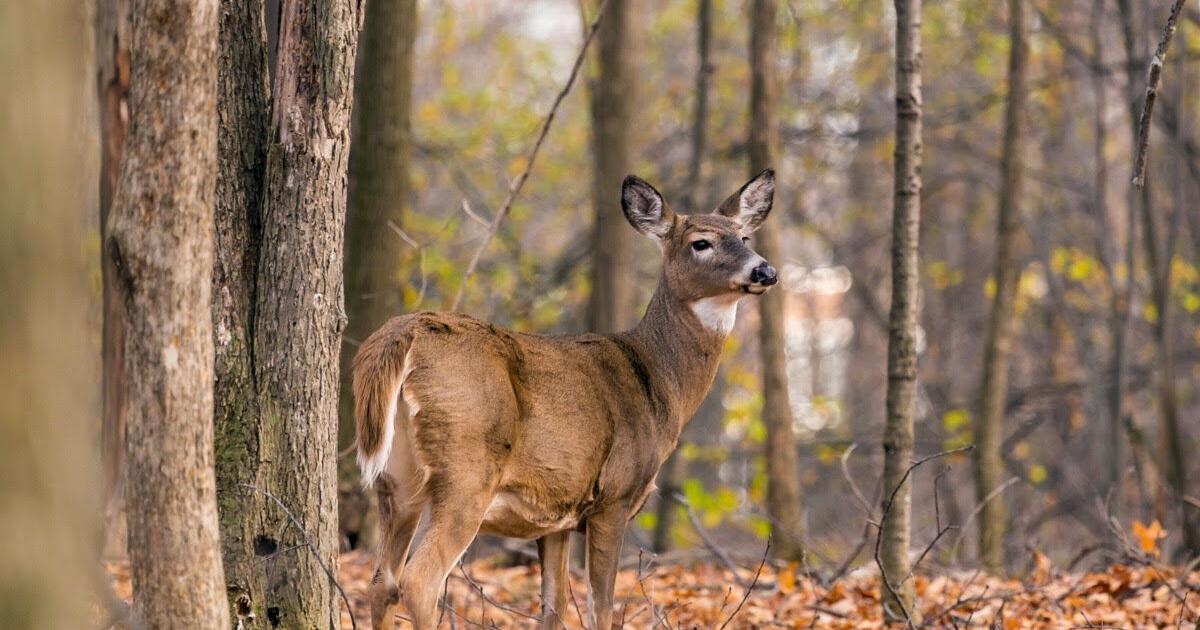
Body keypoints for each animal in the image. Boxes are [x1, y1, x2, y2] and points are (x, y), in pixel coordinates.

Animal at [354, 169, 781, 630]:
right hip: (466, 465)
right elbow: (601, 608)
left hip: (396, 478)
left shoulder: (556, 513)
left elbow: (553, 607)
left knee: (381, 583)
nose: (765, 270)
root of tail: (403, 334)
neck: (658, 381)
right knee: (418, 580)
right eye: (700, 242)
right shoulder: (614, 496)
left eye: (745, 236)